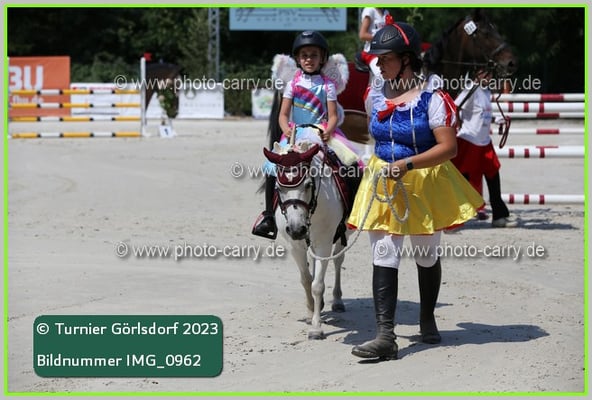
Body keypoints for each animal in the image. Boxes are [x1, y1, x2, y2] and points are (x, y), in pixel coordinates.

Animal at [263, 138, 350, 340]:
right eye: (278, 188)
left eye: (309, 185)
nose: (296, 229)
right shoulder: (295, 245)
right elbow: (306, 279)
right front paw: (311, 312)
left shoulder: (324, 244)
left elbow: (317, 284)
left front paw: (316, 327)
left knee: (338, 260)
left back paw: (337, 300)